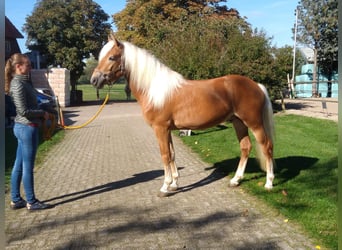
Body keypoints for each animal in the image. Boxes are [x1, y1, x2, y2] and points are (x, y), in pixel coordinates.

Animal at [91, 35, 276, 196]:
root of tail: (257, 85)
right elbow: (172, 154)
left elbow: (165, 155)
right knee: (245, 147)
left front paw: (165, 187)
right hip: (238, 122)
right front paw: (174, 184)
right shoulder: (167, 130)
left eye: (112, 57)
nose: (94, 80)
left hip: (254, 123)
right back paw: (236, 180)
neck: (155, 90)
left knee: (266, 147)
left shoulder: (160, 129)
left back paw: (268, 183)